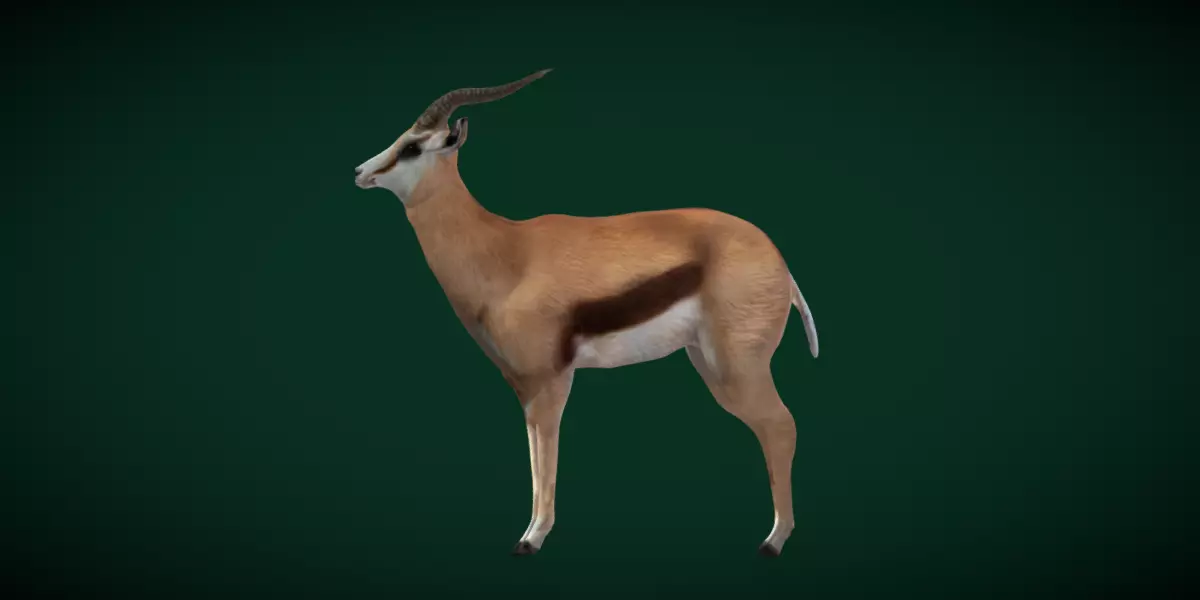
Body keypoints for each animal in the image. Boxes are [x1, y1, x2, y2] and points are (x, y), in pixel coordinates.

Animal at [353, 69, 820, 557]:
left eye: (412, 147)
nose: (360, 172)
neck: (503, 254)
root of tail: (781, 265)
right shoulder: (524, 385)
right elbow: (536, 452)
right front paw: (531, 533)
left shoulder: (550, 380)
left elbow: (546, 452)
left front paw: (532, 539)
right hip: (707, 363)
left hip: (738, 367)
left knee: (781, 426)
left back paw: (773, 541)